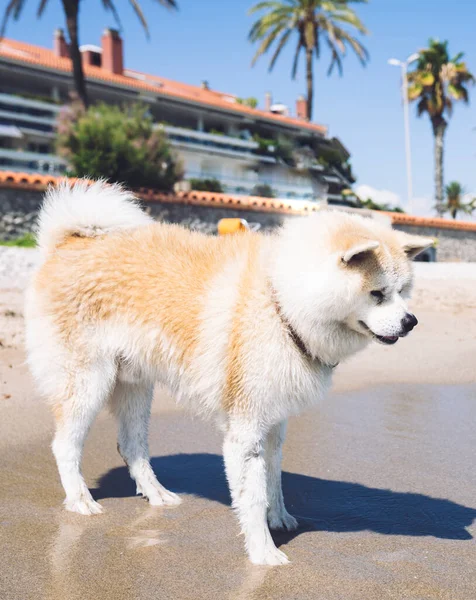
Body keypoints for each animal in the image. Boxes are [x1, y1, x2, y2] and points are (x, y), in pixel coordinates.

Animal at [24, 180, 432, 564]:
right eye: (378, 293)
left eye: (403, 291)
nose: (411, 321)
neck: (281, 303)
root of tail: (66, 244)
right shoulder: (244, 430)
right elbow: (252, 498)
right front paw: (263, 553)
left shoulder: (274, 424)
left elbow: (273, 480)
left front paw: (279, 518)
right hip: (87, 383)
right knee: (65, 445)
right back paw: (79, 499)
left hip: (135, 385)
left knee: (132, 446)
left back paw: (157, 494)